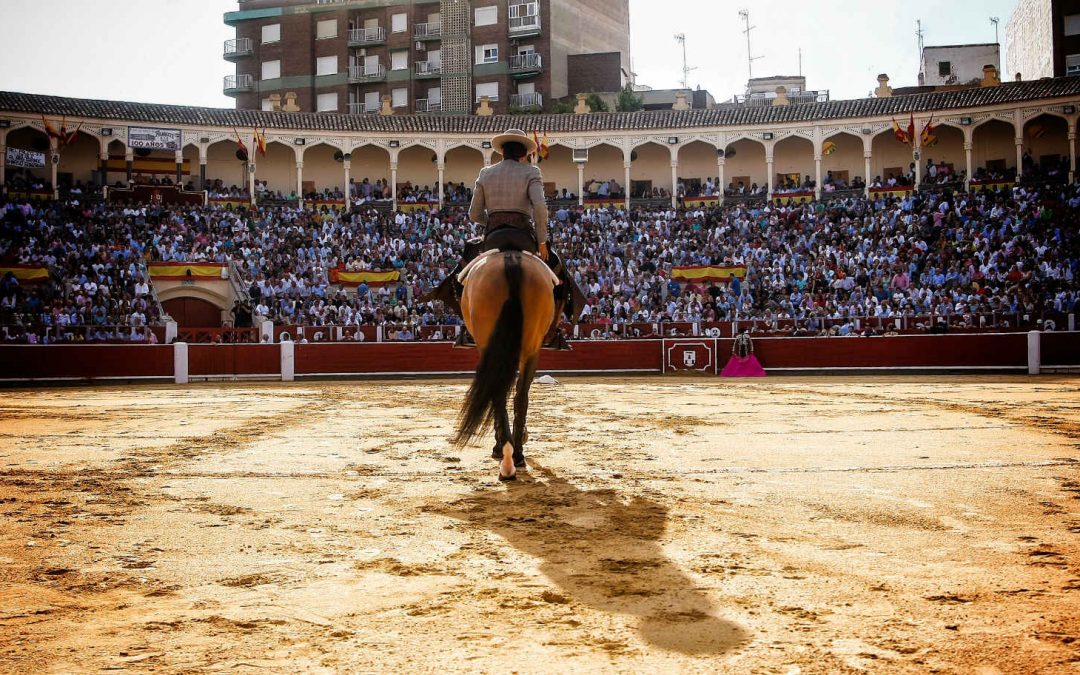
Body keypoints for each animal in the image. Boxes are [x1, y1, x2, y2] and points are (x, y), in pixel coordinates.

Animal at [451, 251, 557, 479]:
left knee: (498, 393)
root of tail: (511, 262)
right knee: (520, 395)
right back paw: (516, 453)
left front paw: (499, 446)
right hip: (531, 346)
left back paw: (506, 457)